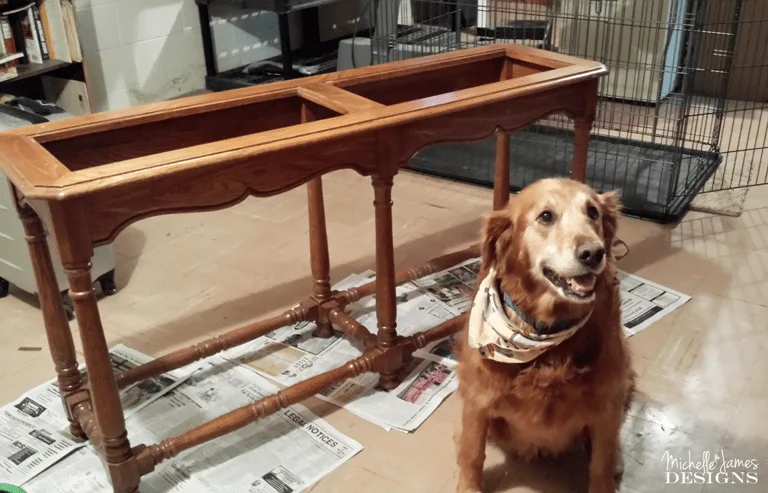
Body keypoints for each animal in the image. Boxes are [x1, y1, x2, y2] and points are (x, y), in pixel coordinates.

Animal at [452, 177, 632, 492]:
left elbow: (601, 463)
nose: (593, 253)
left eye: (593, 212)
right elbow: (472, 452)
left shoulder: (606, 401)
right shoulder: (477, 398)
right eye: (546, 216)